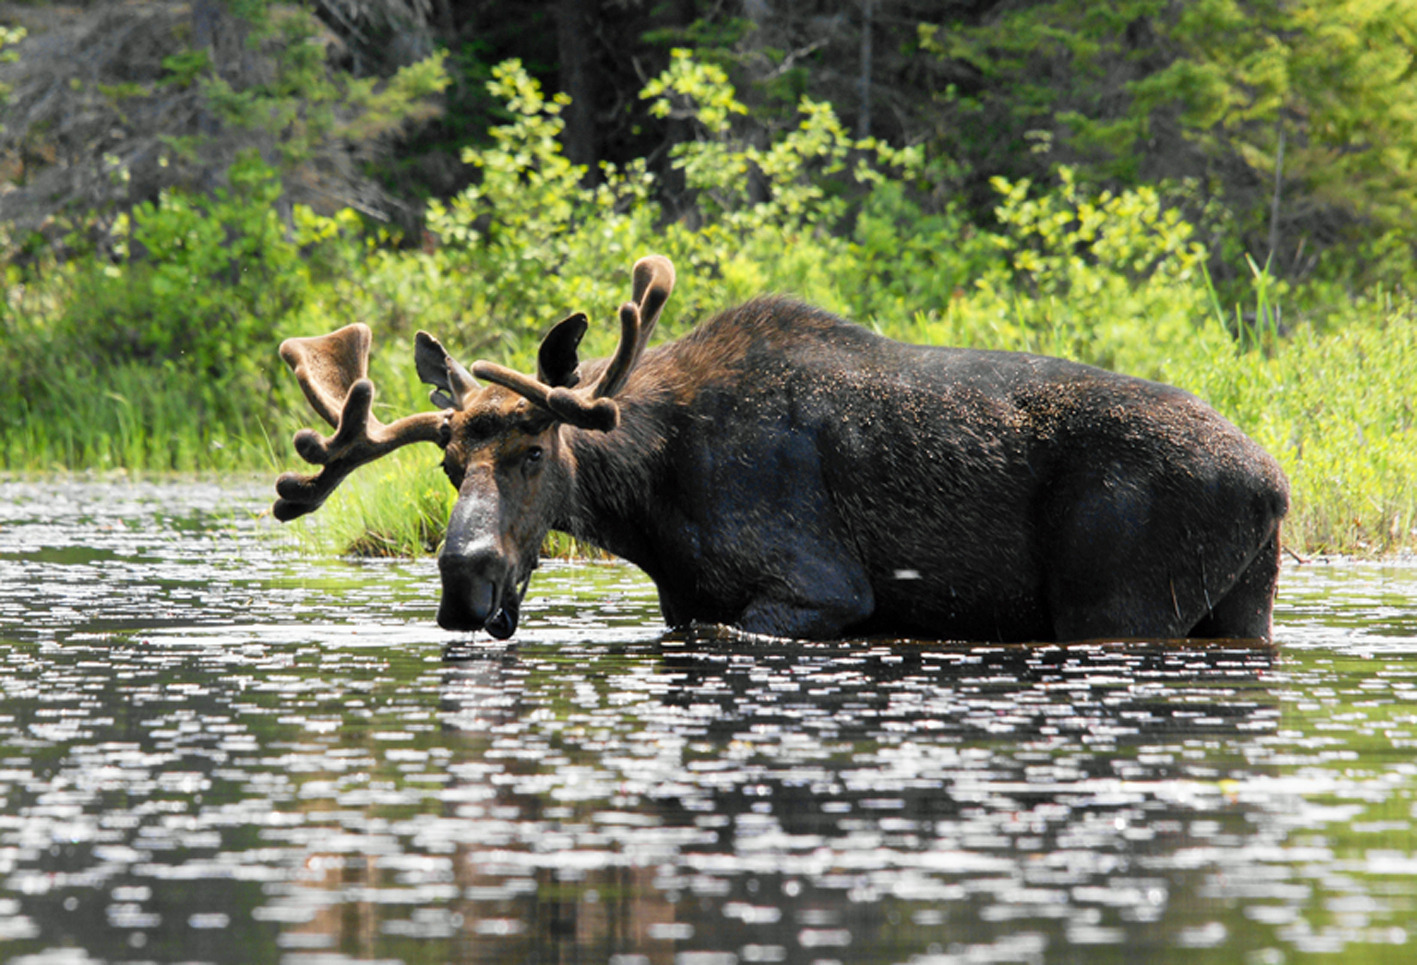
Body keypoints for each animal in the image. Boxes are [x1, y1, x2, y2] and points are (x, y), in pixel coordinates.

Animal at [272, 254, 1290, 643]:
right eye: (449, 465)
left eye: (531, 451)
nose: (465, 576)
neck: (650, 505)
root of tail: (1273, 483)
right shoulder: (684, 599)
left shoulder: (823, 589)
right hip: (1240, 605)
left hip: (1120, 603)